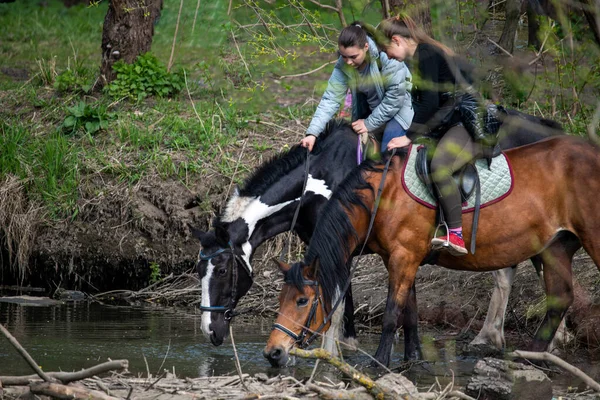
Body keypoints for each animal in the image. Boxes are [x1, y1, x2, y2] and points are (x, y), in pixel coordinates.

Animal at [195, 110, 564, 356]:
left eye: (224, 270)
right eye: (200, 269)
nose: (210, 331)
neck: (320, 180)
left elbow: (338, 303)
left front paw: (334, 352)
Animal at [264, 136, 600, 368]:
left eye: (302, 300)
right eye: (280, 299)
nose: (273, 352)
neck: (381, 196)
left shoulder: (404, 257)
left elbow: (391, 314)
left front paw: (380, 363)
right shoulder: (401, 259)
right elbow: (410, 314)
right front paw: (412, 360)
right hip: (555, 247)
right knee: (560, 299)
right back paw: (528, 356)